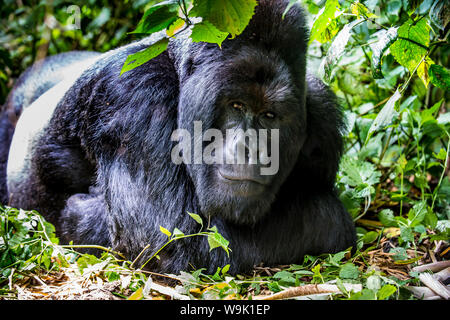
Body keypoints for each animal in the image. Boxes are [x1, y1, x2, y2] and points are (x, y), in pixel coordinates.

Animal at [0, 0, 356, 276]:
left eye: (270, 116)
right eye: (236, 105)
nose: (251, 149)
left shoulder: (321, 114)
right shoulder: (134, 96)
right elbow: (172, 243)